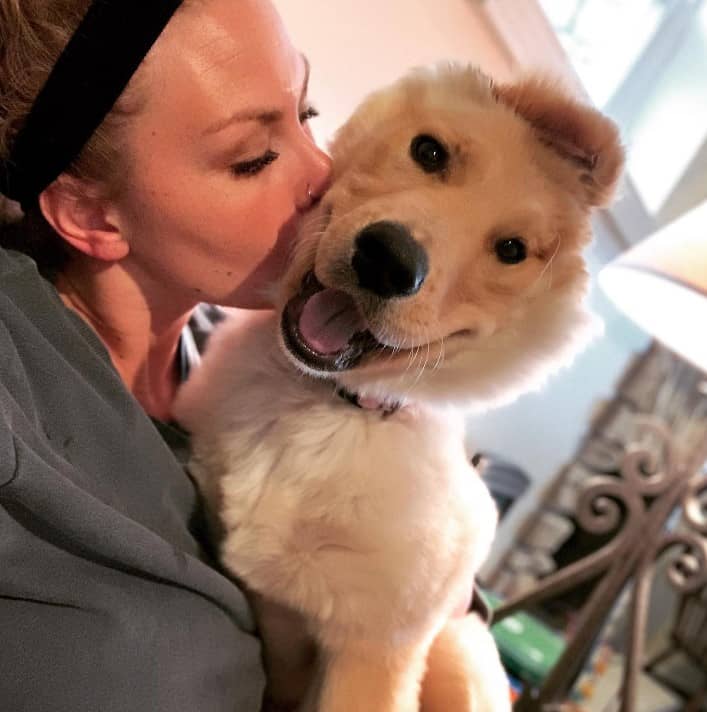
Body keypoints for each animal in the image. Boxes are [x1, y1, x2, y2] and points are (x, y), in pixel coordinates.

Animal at [176, 64, 624, 708]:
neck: (329, 405)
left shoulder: (376, 651)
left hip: (460, 648)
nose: (387, 262)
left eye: (512, 250)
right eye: (429, 152)